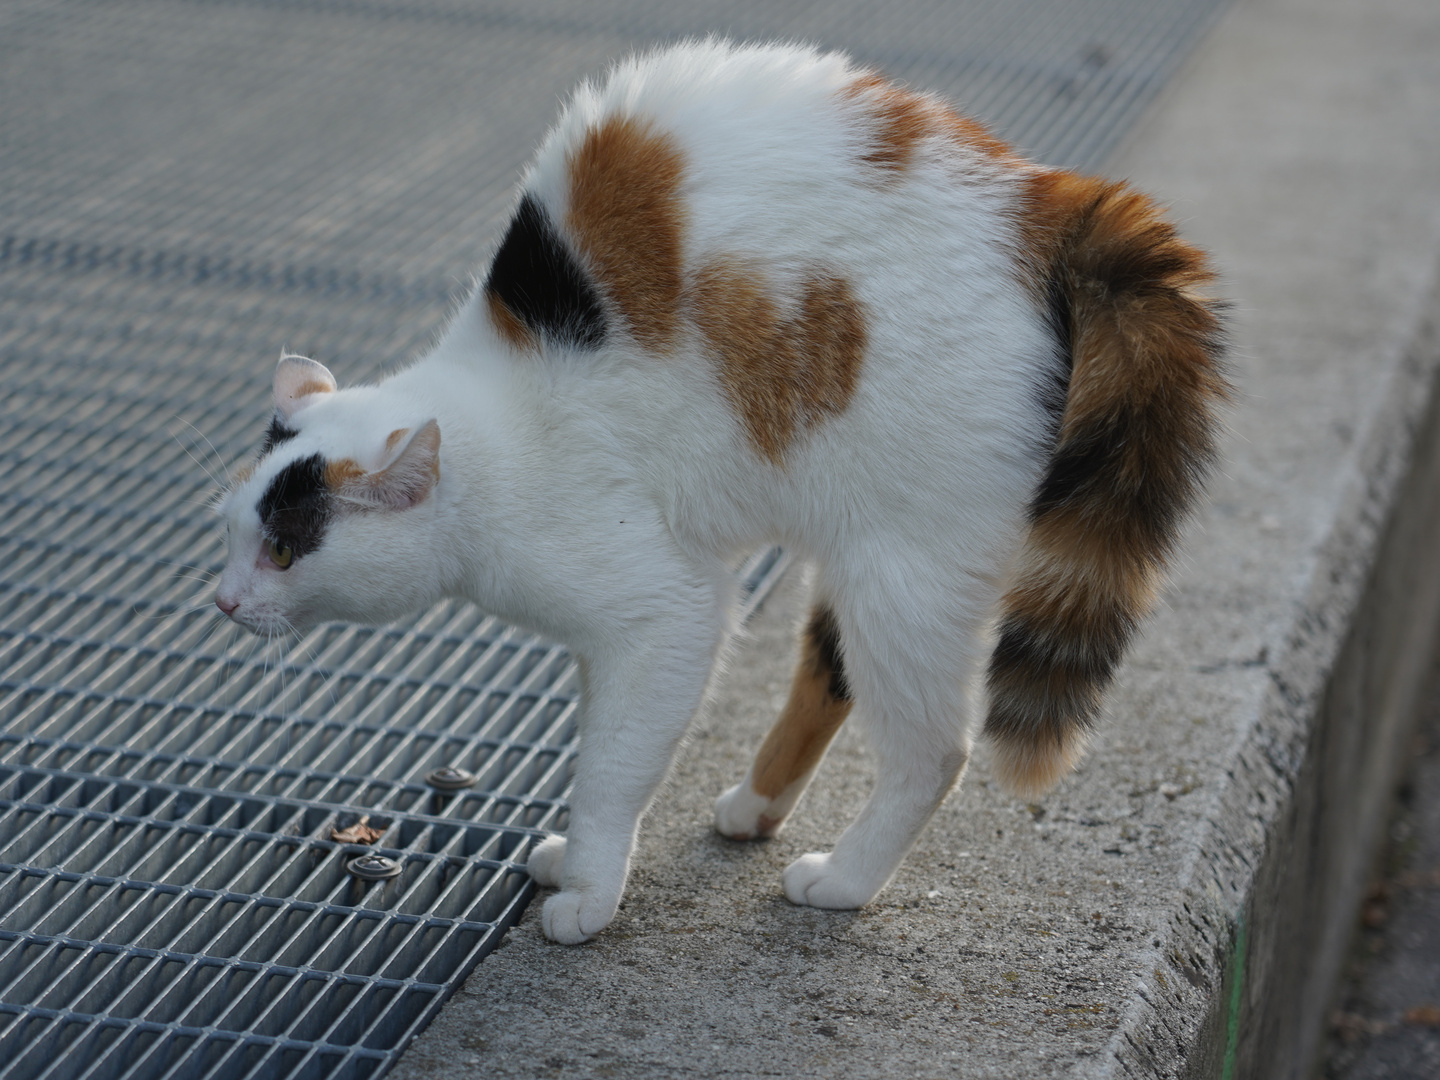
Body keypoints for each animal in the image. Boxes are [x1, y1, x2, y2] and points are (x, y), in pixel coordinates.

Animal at [213, 38, 1226, 944]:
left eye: (286, 549)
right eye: (231, 535)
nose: (223, 602)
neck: (501, 426)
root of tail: (1048, 198)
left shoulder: (666, 610)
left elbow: (612, 765)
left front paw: (588, 893)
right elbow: (604, 734)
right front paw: (575, 860)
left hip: (902, 563)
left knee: (935, 750)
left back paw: (844, 880)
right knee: (829, 674)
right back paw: (756, 805)